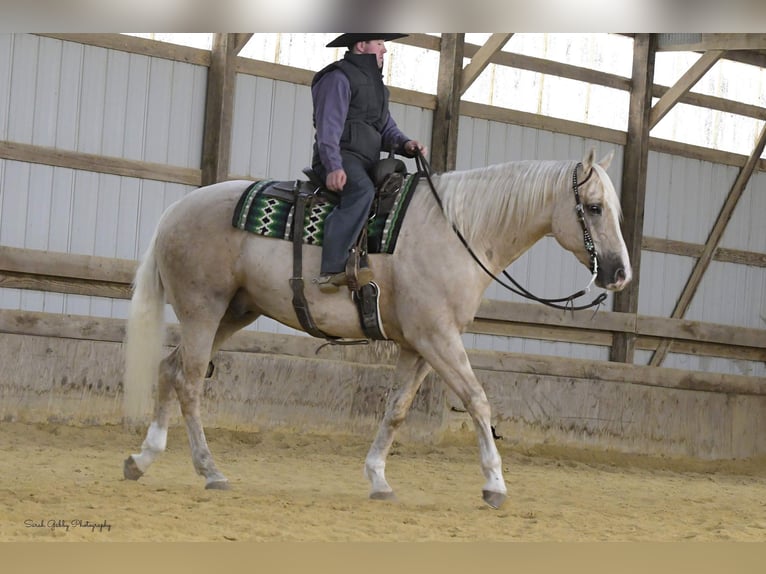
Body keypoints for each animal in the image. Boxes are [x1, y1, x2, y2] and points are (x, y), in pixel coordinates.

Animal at [124, 147, 632, 508]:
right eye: (593, 207)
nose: (619, 273)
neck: (457, 231)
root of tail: (176, 210)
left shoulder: (418, 346)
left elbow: (397, 409)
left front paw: (378, 479)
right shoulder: (438, 337)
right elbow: (476, 400)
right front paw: (495, 484)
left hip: (233, 313)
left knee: (171, 369)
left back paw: (143, 458)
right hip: (203, 310)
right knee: (190, 382)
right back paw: (210, 470)